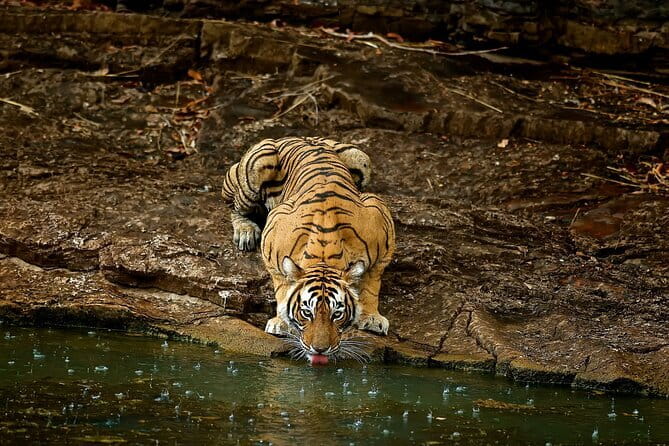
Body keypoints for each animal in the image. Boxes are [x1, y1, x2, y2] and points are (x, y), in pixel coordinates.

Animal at [221, 136, 395, 363]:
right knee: (234, 206)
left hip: (360, 157)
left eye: (337, 314)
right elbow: (282, 286)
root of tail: (302, 137)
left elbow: (372, 284)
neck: (324, 255)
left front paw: (372, 318)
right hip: (257, 165)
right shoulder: (272, 236)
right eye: (306, 312)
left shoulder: (383, 230)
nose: (320, 349)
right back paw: (246, 232)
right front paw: (282, 323)